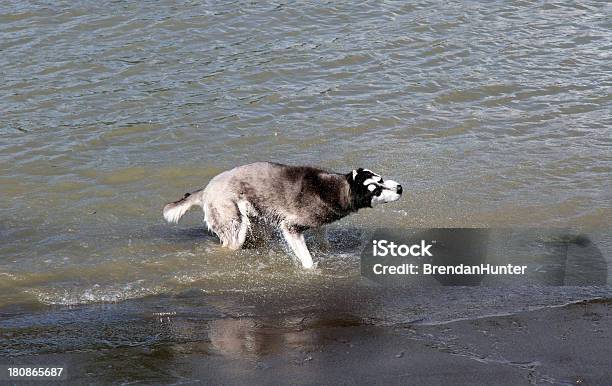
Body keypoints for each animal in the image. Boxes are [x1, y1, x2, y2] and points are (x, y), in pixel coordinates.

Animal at [163, 162, 402, 268]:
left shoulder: (319, 223)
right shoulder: (291, 228)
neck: (336, 189)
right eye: (376, 191)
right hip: (235, 226)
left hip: (257, 221)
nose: (399, 188)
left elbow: (323, 241)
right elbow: (307, 260)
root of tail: (206, 189)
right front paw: (312, 272)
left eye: (381, 179)